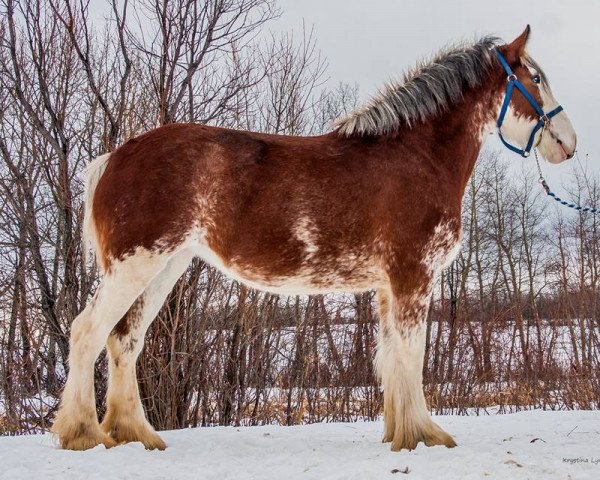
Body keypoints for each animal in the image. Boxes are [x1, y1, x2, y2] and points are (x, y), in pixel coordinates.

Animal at [52, 26, 576, 452]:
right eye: (534, 78)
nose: (568, 143)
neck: (416, 157)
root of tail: (117, 155)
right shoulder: (413, 277)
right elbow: (413, 356)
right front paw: (424, 435)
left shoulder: (388, 287)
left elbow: (391, 359)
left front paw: (400, 432)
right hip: (135, 264)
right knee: (87, 331)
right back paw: (82, 433)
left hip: (165, 268)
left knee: (125, 338)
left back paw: (137, 434)